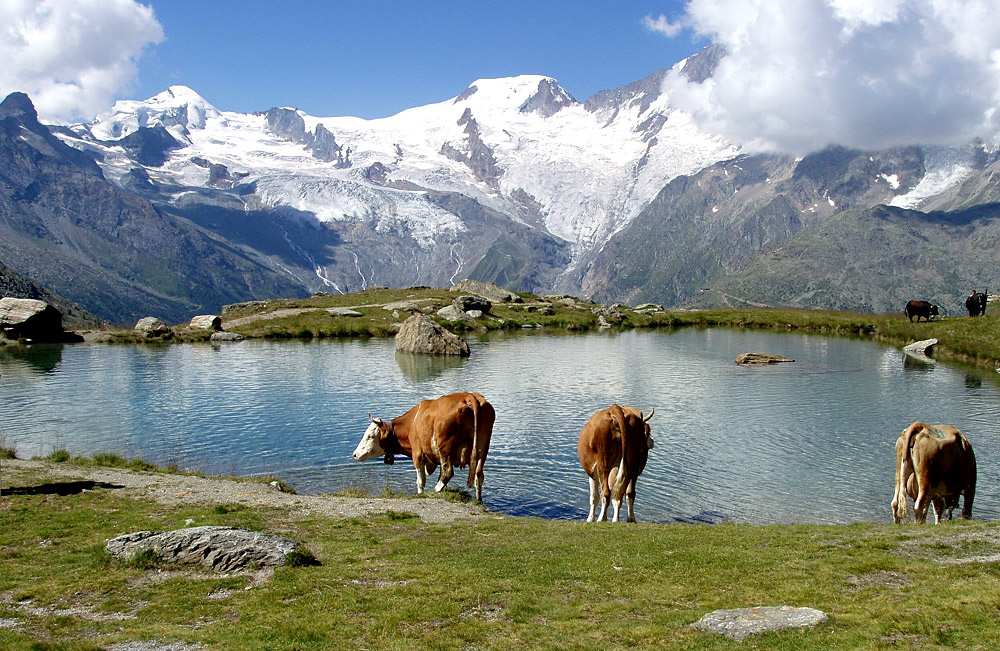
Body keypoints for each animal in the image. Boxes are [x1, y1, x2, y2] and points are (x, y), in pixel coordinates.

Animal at [352, 392, 496, 504]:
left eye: (370, 436)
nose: (355, 454)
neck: (412, 423)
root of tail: (469, 397)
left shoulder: (417, 454)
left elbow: (420, 481)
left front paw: (421, 494)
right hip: (482, 449)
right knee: (478, 475)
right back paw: (479, 500)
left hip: (444, 448)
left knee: (448, 471)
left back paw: (436, 490)